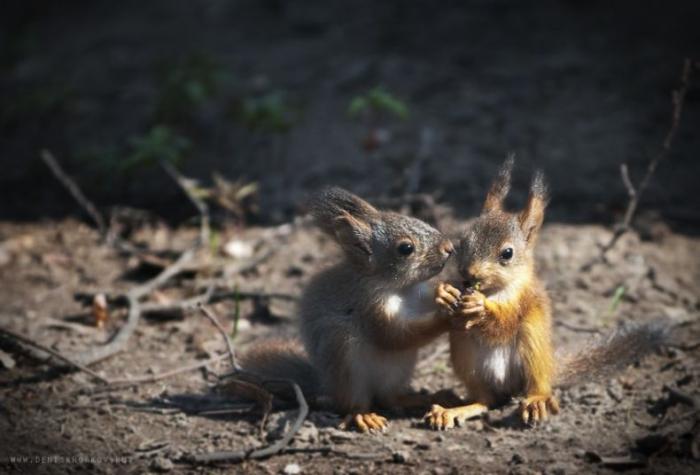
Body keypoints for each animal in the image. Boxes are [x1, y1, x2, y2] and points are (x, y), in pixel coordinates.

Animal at [243, 188, 456, 434]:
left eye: (418, 219)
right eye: (406, 248)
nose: (449, 248)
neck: (398, 289)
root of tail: (327, 385)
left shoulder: (416, 296)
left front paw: (445, 290)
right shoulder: (369, 308)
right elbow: (394, 336)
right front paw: (445, 317)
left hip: (400, 369)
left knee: (389, 398)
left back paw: (423, 398)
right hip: (344, 360)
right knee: (354, 403)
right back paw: (363, 415)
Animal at [424, 158, 664, 430]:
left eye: (507, 253)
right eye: (462, 241)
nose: (468, 273)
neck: (494, 290)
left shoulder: (524, 299)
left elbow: (504, 323)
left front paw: (480, 307)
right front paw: (444, 292)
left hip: (533, 347)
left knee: (535, 387)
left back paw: (537, 401)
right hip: (466, 356)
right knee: (486, 400)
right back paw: (452, 411)